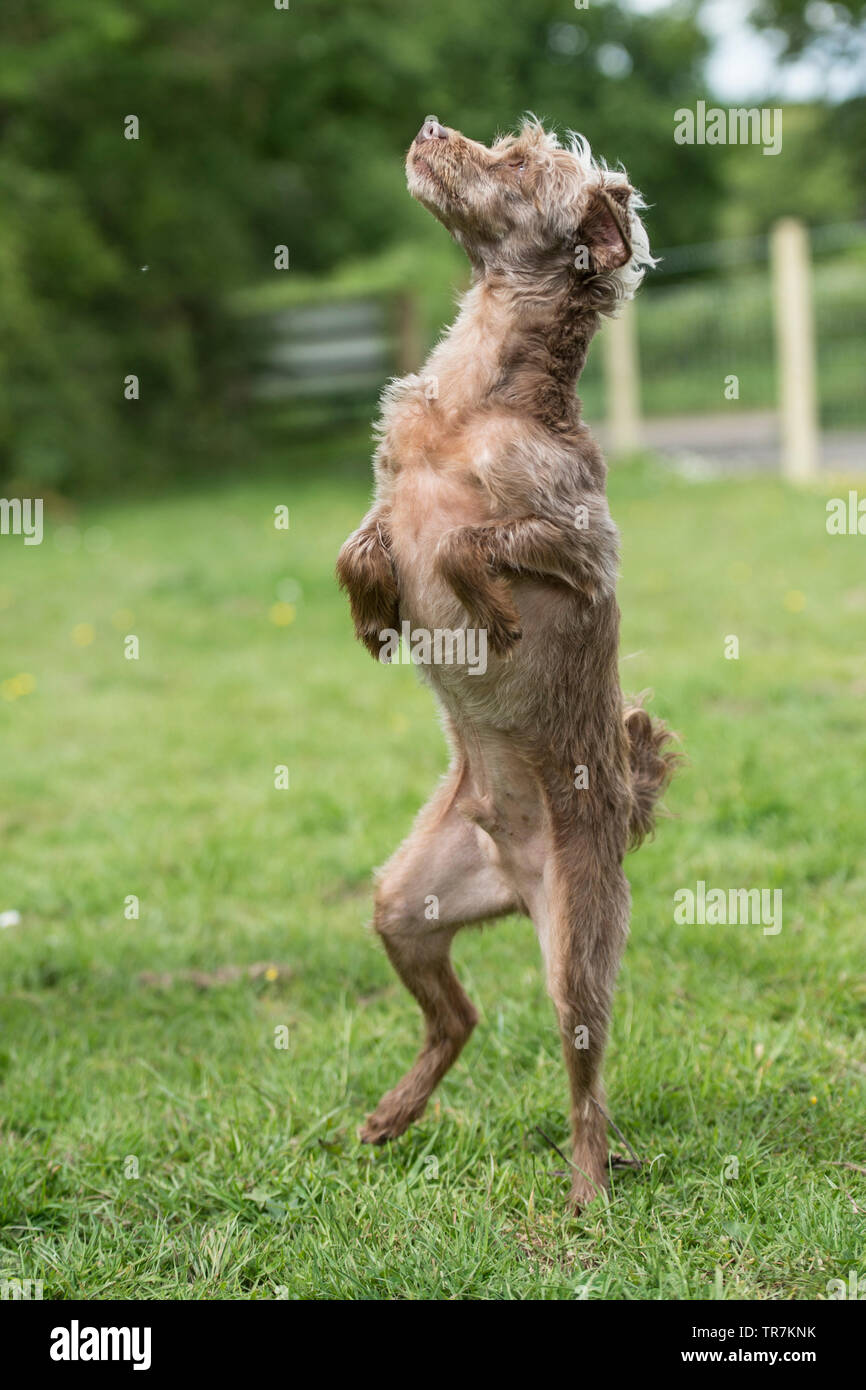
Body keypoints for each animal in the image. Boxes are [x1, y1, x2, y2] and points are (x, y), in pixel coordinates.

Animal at [335, 116, 681, 1206]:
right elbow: (361, 546)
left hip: (577, 948)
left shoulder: (580, 543)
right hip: (404, 905)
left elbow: (464, 542)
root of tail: (516, 874)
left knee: (587, 1087)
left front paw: (482, 604)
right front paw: (375, 613)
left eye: (521, 162)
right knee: (460, 1018)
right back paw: (391, 1114)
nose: (428, 128)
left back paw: (587, 1193)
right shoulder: (384, 488)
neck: (471, 397)